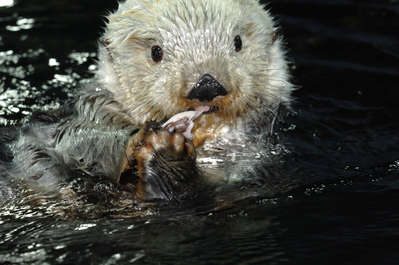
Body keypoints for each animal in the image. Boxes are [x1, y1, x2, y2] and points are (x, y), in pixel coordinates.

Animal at [6, 0, 294, 204]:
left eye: (237, 42)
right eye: (156, 52)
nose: (206, 84)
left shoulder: (248, 152)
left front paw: (168, 154)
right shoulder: (91, 107)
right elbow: (75, 138)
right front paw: (141, 140)